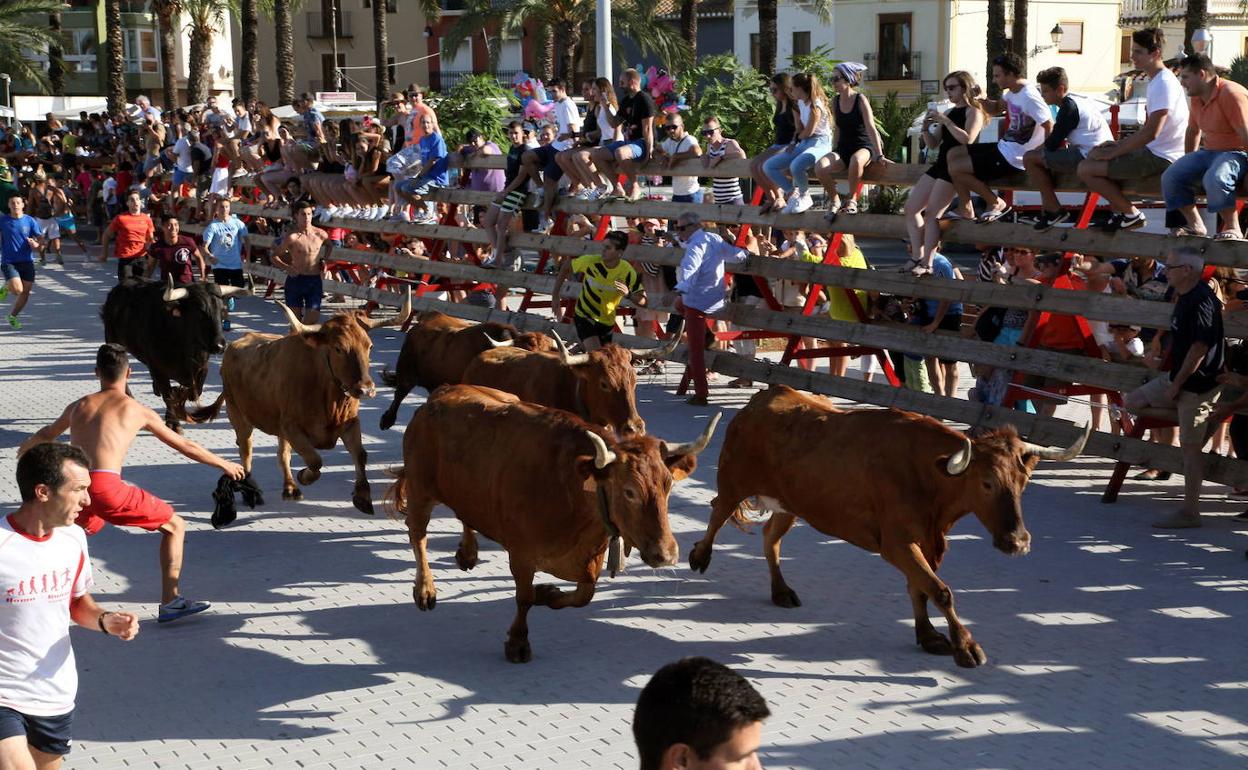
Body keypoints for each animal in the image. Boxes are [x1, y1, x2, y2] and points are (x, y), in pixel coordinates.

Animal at [190, 288, 414, 516]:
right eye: (338, 348)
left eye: (369, 346)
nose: (366, 389)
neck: (329, 399)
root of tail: (236, 344)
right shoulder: (292, 428)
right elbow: (315, 460)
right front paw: (304, 476)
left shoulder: (350, 423)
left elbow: (360, 455)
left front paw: (362, 496)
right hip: (238, 416)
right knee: (246, 451)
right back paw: (252, 491)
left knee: (282, 453)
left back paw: (290, 488)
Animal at [389, 384, 723, 658]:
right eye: (629, 491)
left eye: (668, 485)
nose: (666, 555)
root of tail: (439, 394)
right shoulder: (521, 554)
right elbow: (524, 598)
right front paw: (518, 641)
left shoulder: (590, 559)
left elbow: (583, 596)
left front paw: (547, 593)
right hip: (420, 487)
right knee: (417, 533)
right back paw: (425, 590)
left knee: (464, 514)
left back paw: (468, 552)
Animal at [688, 384, 1088, 668]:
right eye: (987, 483)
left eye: (1023, 482)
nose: (1017, 542)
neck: (929, 474)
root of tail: (761, 398)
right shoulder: (896, 543)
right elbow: (940, 590)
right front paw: (966, 646)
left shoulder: (926, 542)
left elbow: (921, 588)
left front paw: (928, 636)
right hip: (734, 479)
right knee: (718, 511)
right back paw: (699, 556)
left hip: (791, 504)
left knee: (770, 538)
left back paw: (781, 590)